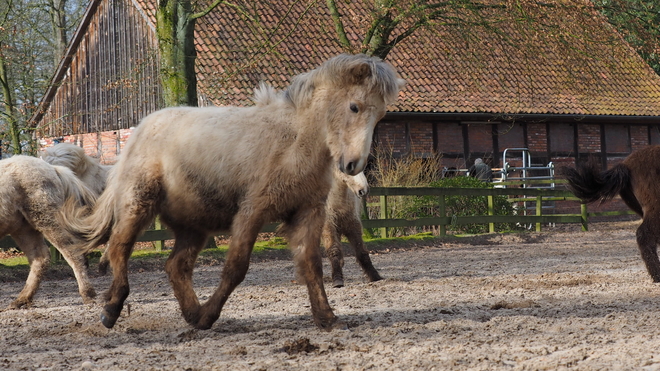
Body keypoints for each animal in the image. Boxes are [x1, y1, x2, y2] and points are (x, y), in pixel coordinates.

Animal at [0, 144, 108, 310]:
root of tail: (53, 168)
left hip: (48, 221)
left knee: (72, 254)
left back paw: (88, 295)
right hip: (24, 229)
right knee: (40, 258)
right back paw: (21, 300)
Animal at [64, 53, 402, 332]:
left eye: (381, 115)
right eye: (354, 106)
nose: (352, 164)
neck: (294, 142)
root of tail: (141, 129)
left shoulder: (308, 212)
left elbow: (311, 266)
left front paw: (327, 318)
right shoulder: (252, 212)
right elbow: (236, 268)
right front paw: (210, 316)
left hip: (193, 226)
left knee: (176, 266)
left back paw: (191, 313)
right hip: (138, 205)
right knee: (119, 249)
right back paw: (112, 309)